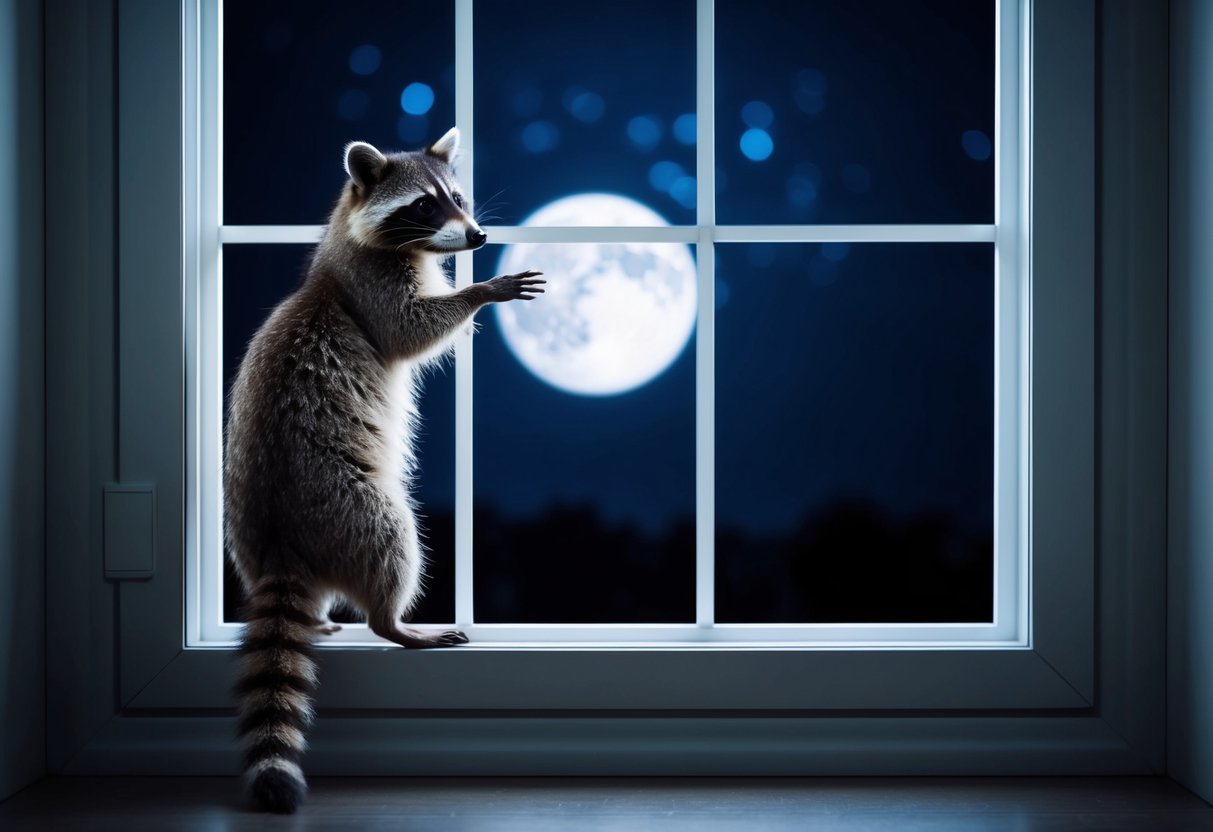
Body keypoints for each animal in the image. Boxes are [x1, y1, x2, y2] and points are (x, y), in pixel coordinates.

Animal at [224, 127, 543, 813]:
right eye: (424, 205)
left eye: (458, 197)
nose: (478, 237)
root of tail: (282, 543)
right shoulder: (370, 287)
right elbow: (407, 331)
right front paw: (478, 292)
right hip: (343, 500)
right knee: (392, 536)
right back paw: (392, 624)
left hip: (249, 532)